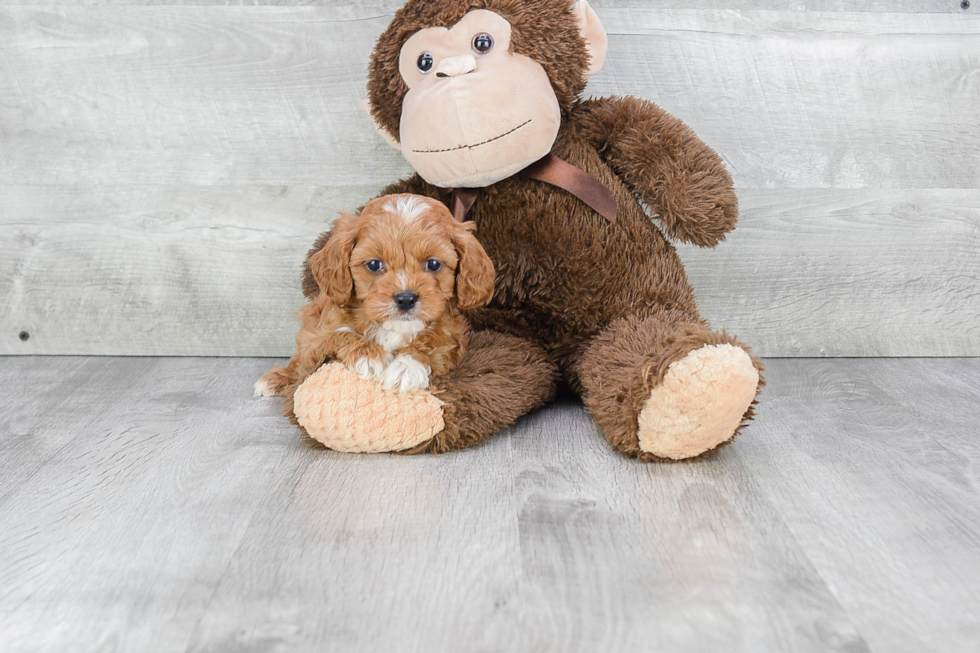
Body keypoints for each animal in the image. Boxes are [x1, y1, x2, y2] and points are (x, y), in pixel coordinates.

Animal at [256, 192, 494, 398]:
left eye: (433, 264)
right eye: (374, 265)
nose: (405, 299)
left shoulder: (453, 336)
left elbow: (433, 342)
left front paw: (406, 367)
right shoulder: (315, 333)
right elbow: (338, 334)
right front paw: (368, 356)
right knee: (298, 363)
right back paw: (275, 379)